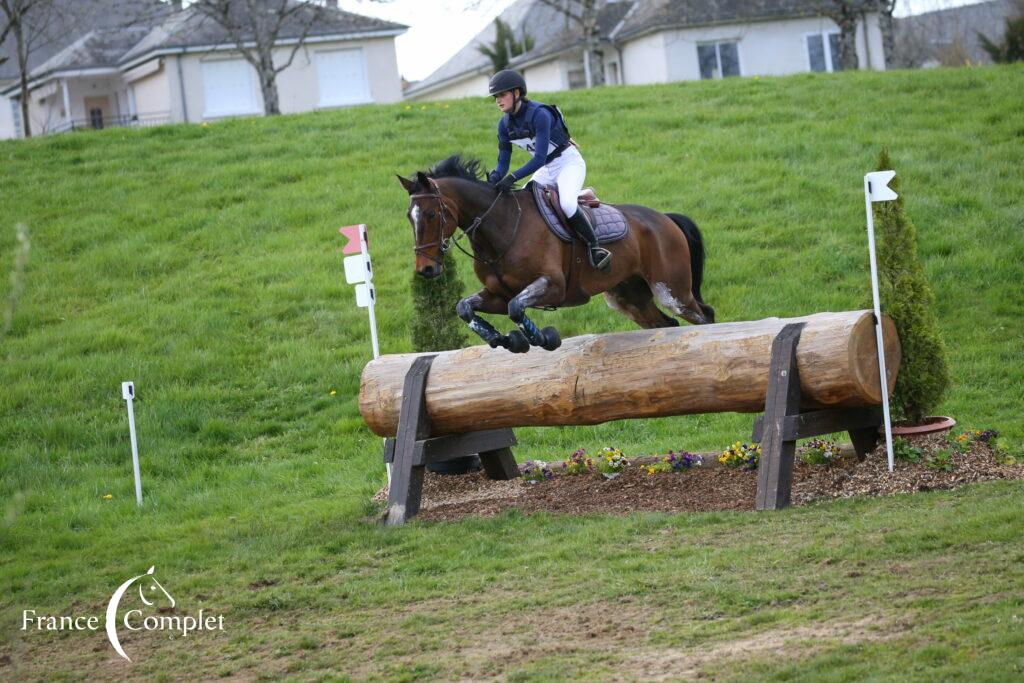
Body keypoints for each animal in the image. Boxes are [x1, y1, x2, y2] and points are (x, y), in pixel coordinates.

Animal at [395, 155, 716, 356]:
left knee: (704, 316)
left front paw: (541, 338)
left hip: (671, 290)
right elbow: (465, 308)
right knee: (665, 325)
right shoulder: (497, 294)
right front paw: (504, 340)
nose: (425, 270)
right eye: (410, 217)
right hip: (629, 298)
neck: (503, 227)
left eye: (432, 214)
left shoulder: (553, 286)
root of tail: (665, 218)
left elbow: (516, 308)